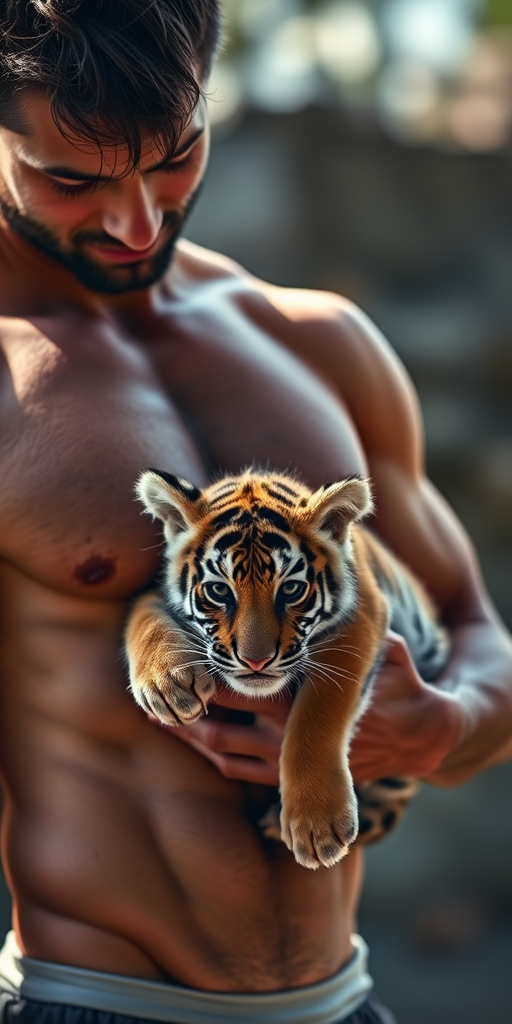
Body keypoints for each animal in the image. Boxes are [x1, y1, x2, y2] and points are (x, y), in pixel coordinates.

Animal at [125, 468, 449, 870]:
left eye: (292, 589)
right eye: (219, 591)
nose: (255, 661)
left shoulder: (364, 614)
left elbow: (318, 712)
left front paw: (317, 825)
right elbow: (143, 611)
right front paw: (166, 683)